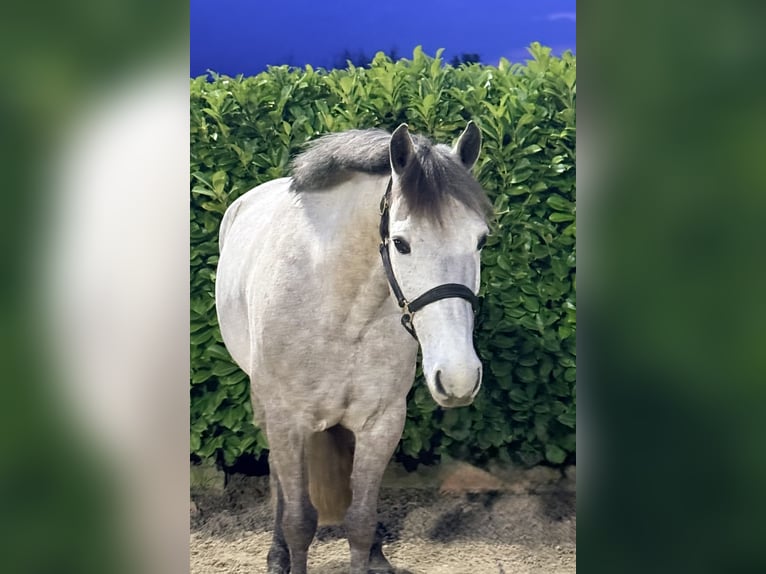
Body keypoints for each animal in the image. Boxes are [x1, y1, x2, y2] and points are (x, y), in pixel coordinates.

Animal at [215, 122, 492, 573]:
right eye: (400, 243)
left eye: (481, 240)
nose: (458, 377)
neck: (335, 304)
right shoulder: (288, 421)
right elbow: (299, 522)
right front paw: (286, 552)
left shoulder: (380, 422)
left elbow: (360, 520)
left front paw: (371, 549)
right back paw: (276, 555)